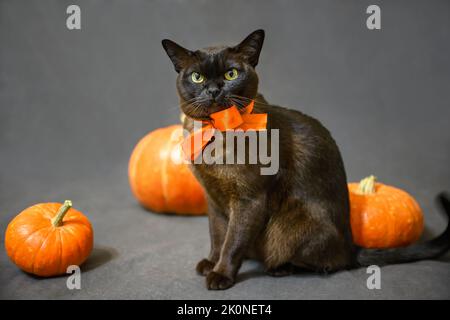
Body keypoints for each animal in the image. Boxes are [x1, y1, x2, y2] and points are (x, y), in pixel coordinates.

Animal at [162, 30, 450, 290]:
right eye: (197, 77)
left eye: (230, 74)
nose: (213, 90)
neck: (214, 132)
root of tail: (351, 243)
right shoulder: (214, 198)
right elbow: (218, 235)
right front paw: (210, 264)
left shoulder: (248, 201)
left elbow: (232, 243)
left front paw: (220, 276)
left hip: (287, 227)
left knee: (331, 263)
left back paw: (280, 268)